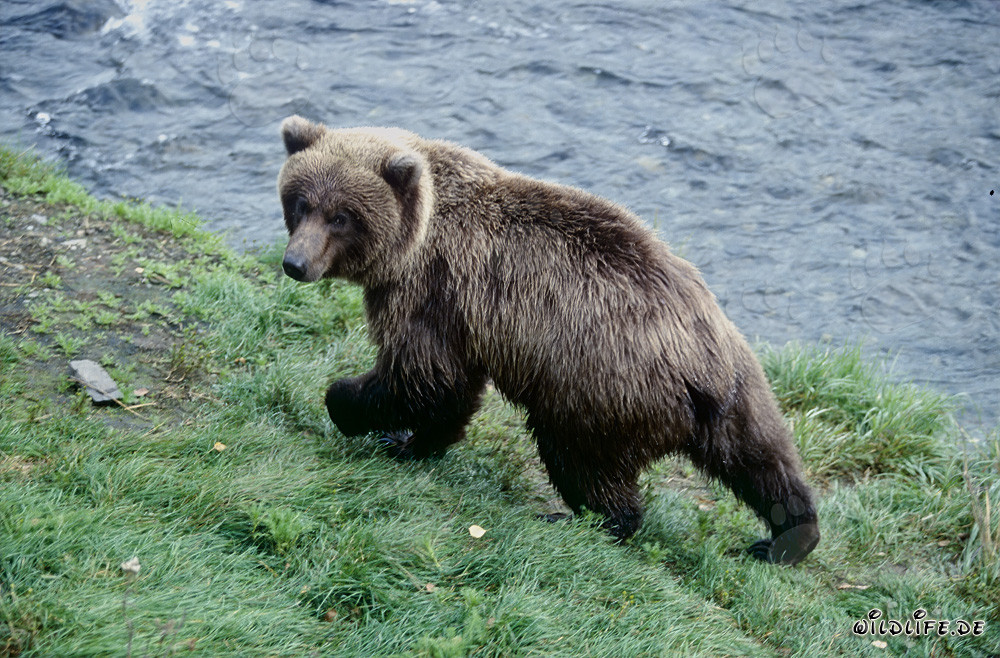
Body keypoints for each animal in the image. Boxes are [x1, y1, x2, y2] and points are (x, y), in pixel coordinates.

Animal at [276, 115, 820, 565]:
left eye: (342, 216)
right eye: (300, 202)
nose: (295, 263)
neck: (416, 237)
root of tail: (698, 368)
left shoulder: (430, 292)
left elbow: (423, 379)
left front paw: (350, 406)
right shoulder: (460, 318)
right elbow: (451, 392)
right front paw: (411, 440)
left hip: (596, 385)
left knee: (583, 459)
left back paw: (587, 519)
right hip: (738, 376)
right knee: (761, 455)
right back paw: (788, 536)